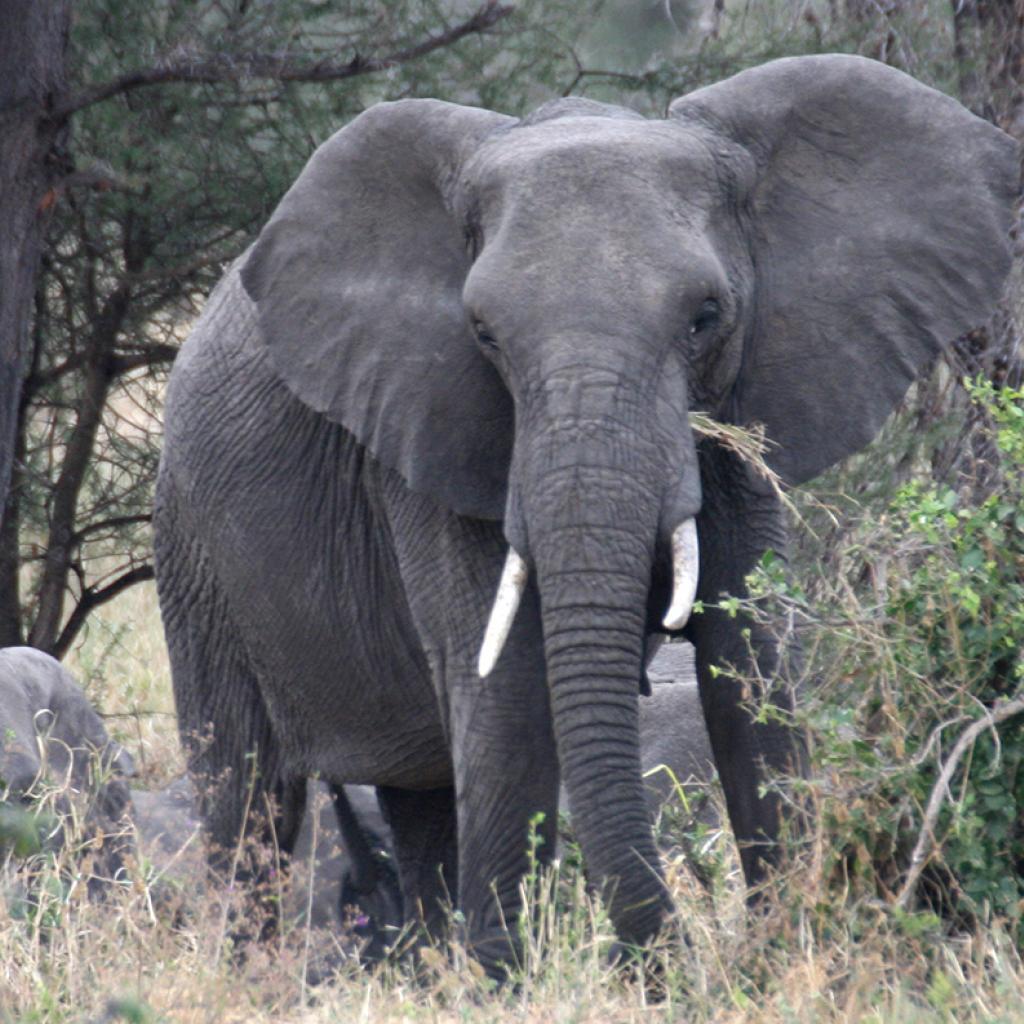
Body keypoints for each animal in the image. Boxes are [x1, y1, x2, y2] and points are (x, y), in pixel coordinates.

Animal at [153, 54, 1015, 974]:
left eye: (706, 317)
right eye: (483, 333)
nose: (676, 961)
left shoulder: (747, 409)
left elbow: (748, 664)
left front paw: (792, 952)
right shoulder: (429, 426)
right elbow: (506, 687)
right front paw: (509, 983)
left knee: (420, 800)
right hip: (192, 550)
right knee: (247, 800)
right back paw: (255, 977)